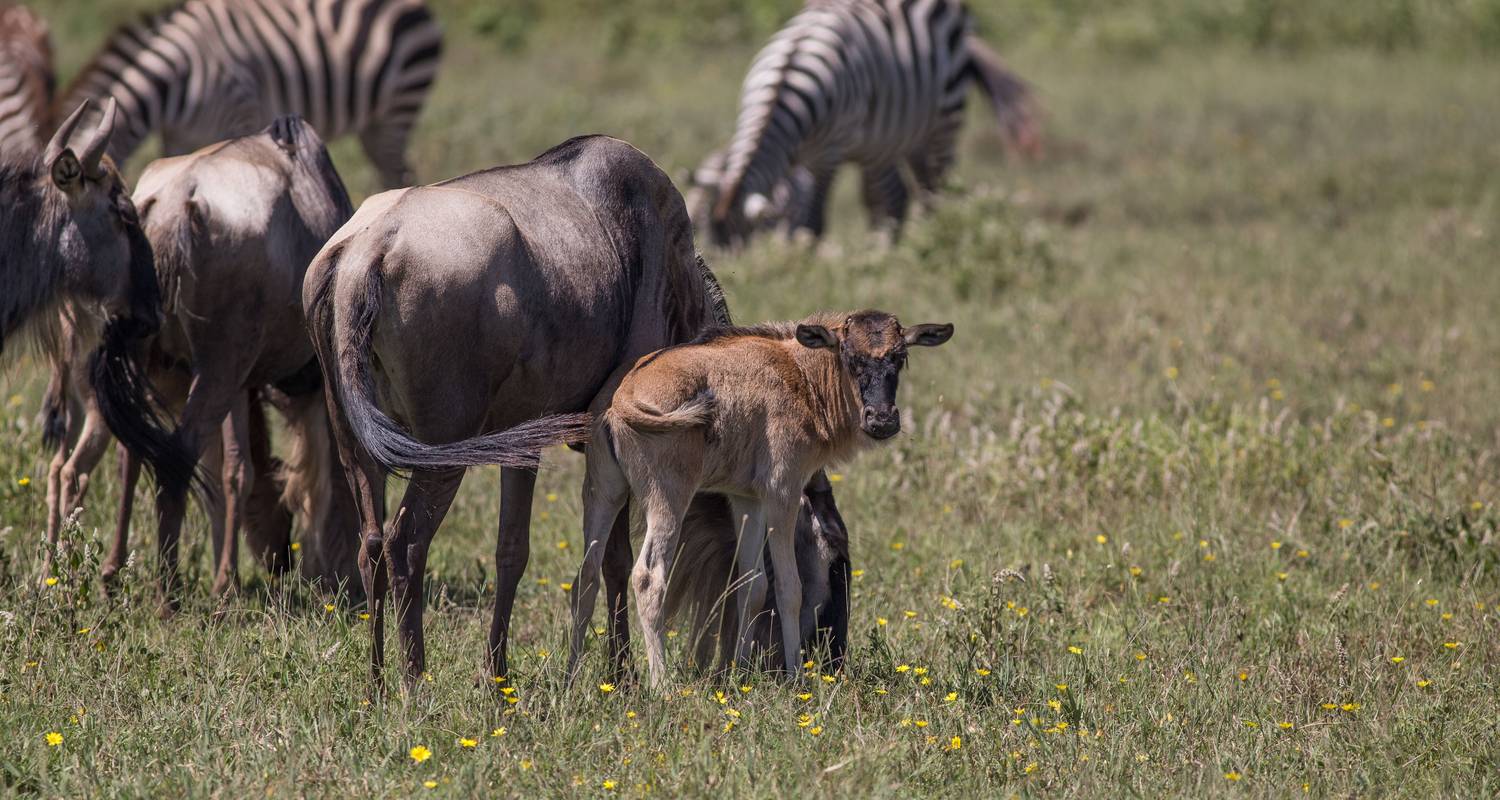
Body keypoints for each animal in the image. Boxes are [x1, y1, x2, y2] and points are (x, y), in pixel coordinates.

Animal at [57, 0, 438, 186]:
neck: (180, 78)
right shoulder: (177, 135)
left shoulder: (240, 117)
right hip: (375, 122)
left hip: (400, 106)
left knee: (399, 173)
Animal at [573, 309, 948, 684]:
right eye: (849, 356)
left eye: (900, 356)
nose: (882, 420)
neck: (798, 374)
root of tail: (623, 398)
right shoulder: (782, 492)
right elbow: (788, 587)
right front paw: (795, 676)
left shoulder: (747, 501)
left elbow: (751, 586)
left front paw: (739, 673)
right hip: (668, 497)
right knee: (649, 578)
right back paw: (663, 685)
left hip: (603, 492)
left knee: (586, 576)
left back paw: (570, 676)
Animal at [696, 0, 1038, 244]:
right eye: (708, 234)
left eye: (743, 236)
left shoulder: (827, 155)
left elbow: (812, 222)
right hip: (891, 138)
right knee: (898, 196)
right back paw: (888, 251)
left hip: (943, 123)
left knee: (936, 192)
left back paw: (935, 241)